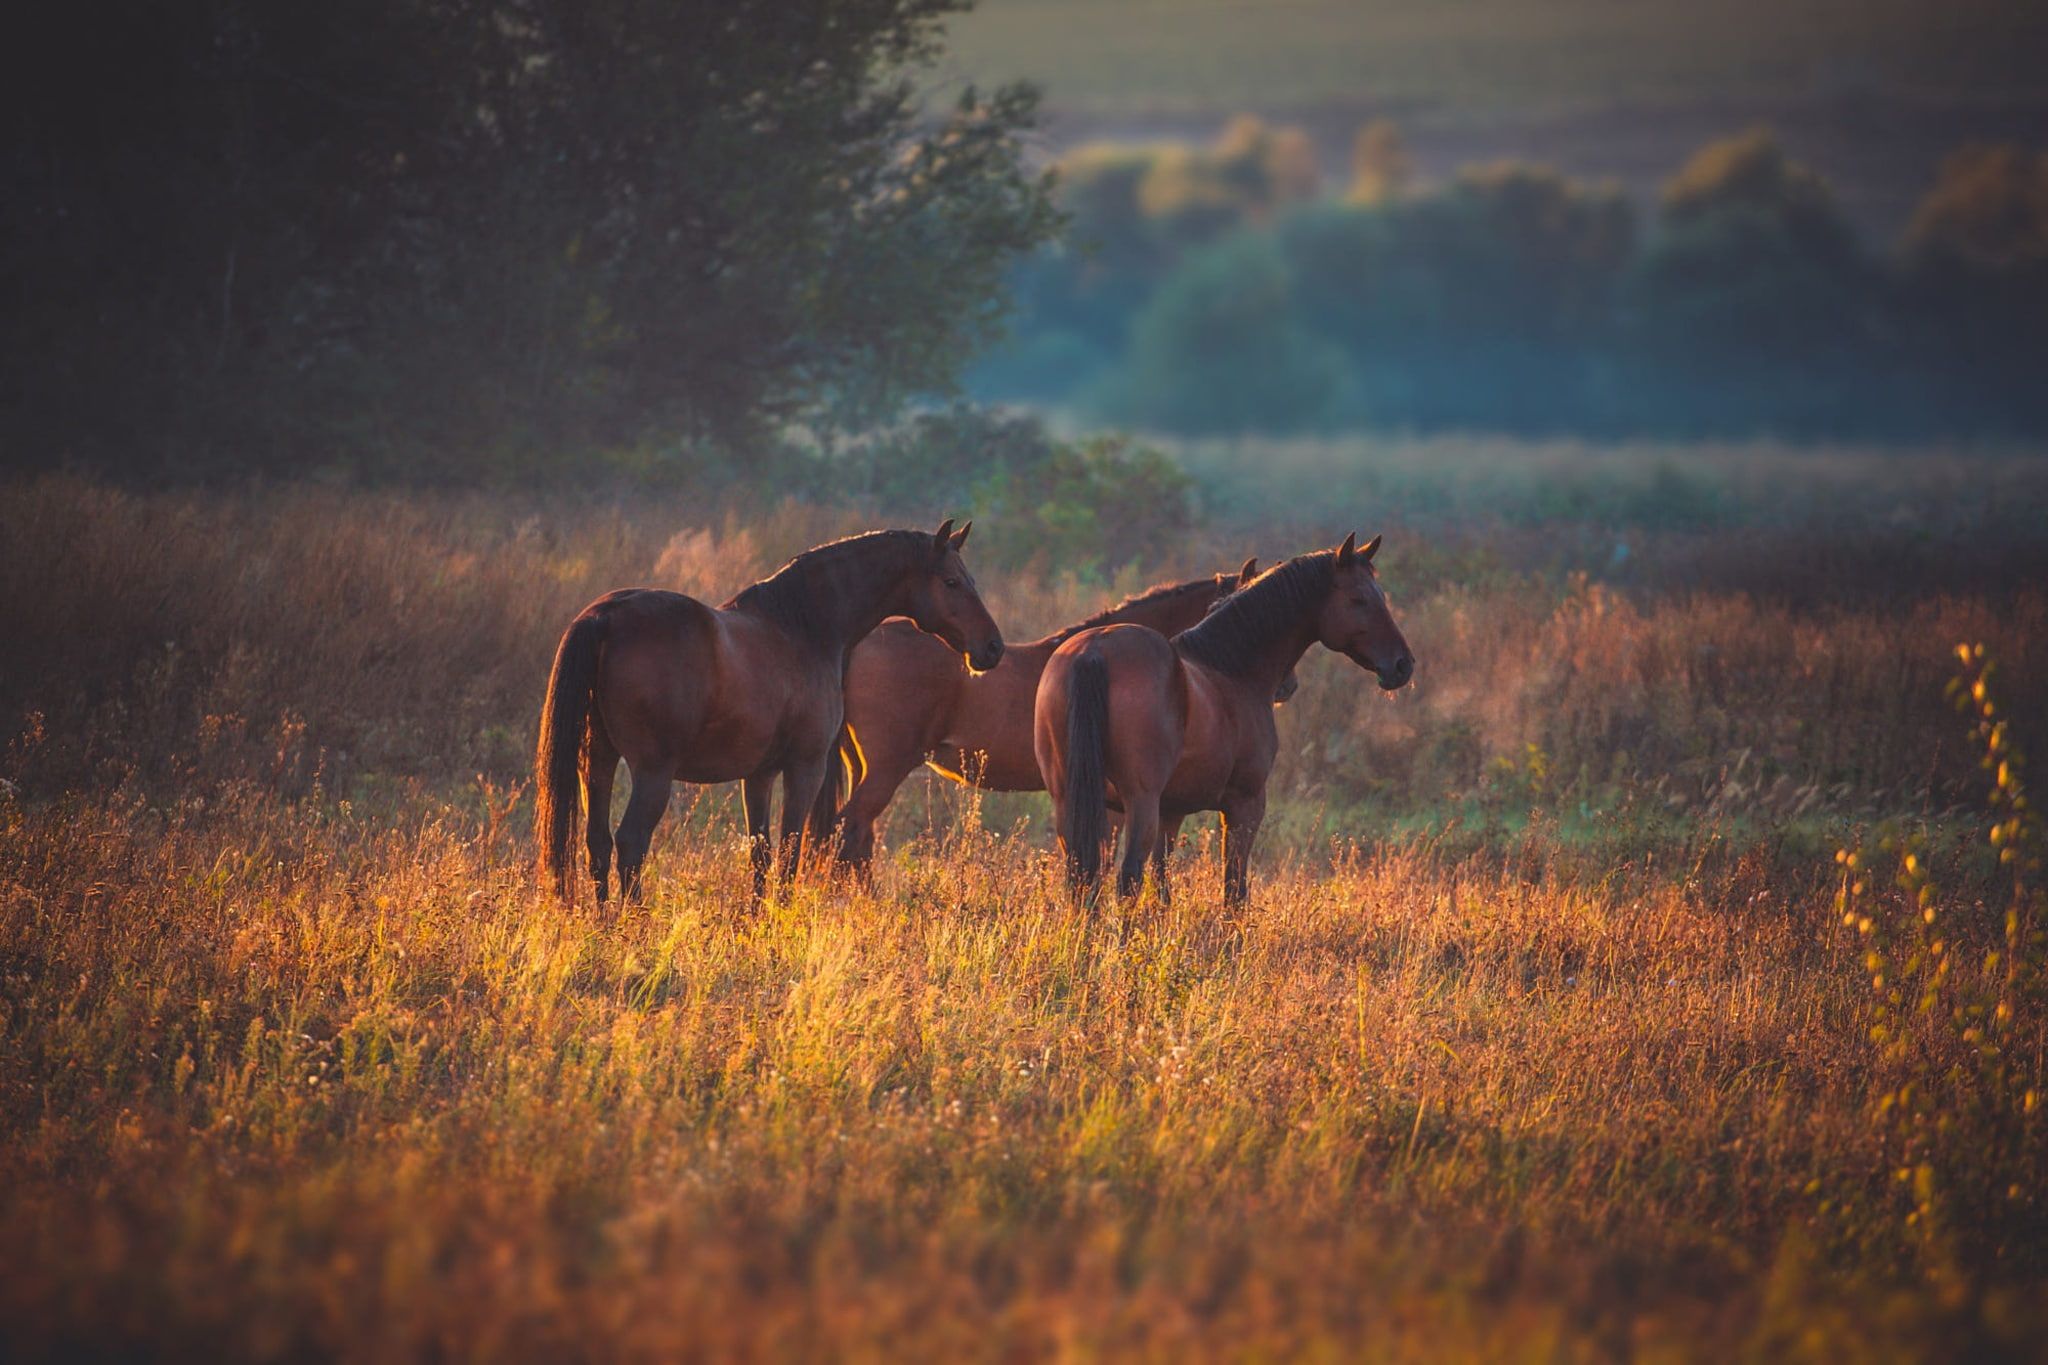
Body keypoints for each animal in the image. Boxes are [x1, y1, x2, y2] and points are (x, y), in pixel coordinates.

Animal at [536, 523, 999, 908]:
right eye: (952, 581)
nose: (993, 647)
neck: (802, 627)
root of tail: (605, 616)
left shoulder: (758, 775)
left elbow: (760, 853)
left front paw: (758, 920)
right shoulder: (805, 768)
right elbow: (791, 851)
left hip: (597, 762)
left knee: (597, 843)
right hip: (653, 774)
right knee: (631, 844)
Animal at [1032, 532, 1417, 908]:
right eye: (1359, 599)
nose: (1402, 665)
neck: (1231, 668)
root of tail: (1093, 651)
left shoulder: (1171, 812)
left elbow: (1162, 888)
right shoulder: (1245, 805)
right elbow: (1234, 891)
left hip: (1072, 801)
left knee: (1084, 880)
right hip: (1138, 802)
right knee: (1127, 879)